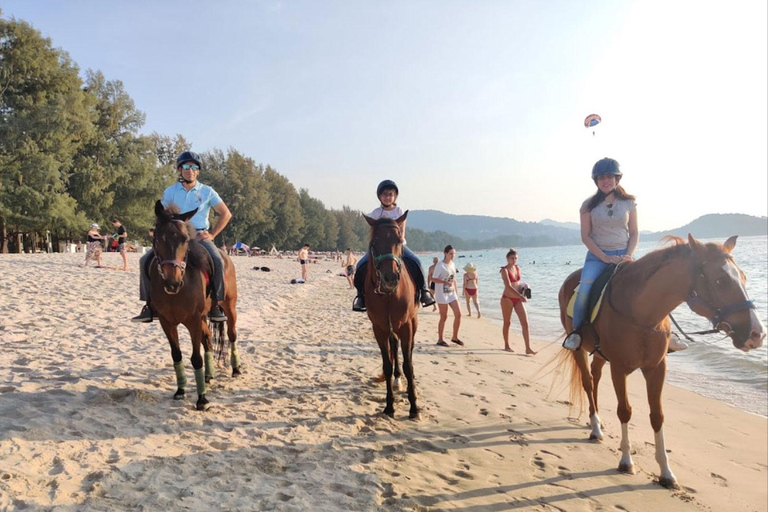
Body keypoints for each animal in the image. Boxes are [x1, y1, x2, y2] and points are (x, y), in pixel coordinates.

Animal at [148, 201, 237, 412]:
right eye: (159, 238)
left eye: (185, 240)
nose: (173, 283)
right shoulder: (166, 322)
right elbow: (177, 355)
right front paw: (180, 390)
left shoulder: (194, 320)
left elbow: (196, 358)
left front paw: (202, 398)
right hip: (204, 317)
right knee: (208, 340)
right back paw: (208, 375)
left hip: (230, 307)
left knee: (231, 335)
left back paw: (236, 369)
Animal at [364, 212, 420, 420]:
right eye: (374, 242)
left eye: (399, 240)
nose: (390, 278)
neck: (389, 294)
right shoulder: (379, 328)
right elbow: (387, 366)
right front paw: (389, 406)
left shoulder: (406, 326)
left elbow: (408, 365)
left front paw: (414, 407)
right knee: (394, 347)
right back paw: (397, 380)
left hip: (412, 323)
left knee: (408, 351)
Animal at [556, 235, 764, 488]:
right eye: (720, 280)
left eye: (743, 277)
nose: (757, 334)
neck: (642, 314)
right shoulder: (619, 368)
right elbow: (624, 410)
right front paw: (626, 461)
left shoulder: (656, 368)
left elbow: (657, 416)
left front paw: (666, 472)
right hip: (579, 350)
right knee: (587, 381)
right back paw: (595, 427)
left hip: (600, 355)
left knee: (595, 377)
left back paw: (597, 423)